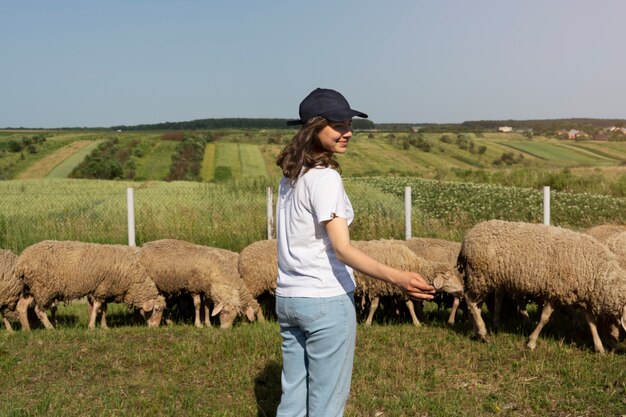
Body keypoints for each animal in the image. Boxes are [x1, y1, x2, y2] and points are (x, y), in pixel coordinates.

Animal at [15, 240, 165, 328]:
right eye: (157, 310)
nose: (155, 328)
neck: (131, 280)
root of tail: (22, 262)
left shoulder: (103, 289)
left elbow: (104, 309)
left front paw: (104, 326)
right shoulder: (102, 288)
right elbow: (97, 307)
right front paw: (92, 326)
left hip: (32, 288)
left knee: (22, 306)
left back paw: (27, 330)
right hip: (43, 289)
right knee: (39, 310)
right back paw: (50, 328)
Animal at [456, 219, 624, 352]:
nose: (617, 342)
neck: (596, 271)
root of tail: (467, 238)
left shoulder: (581, 294)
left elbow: (591, 322)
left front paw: (599, 347)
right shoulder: (555, 291)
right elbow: (544, 318)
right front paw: (531, 342)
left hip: (481, 279)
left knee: (476, 305)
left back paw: (477, 331)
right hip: (481, 276)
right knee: (470, 300)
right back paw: (483, 332)